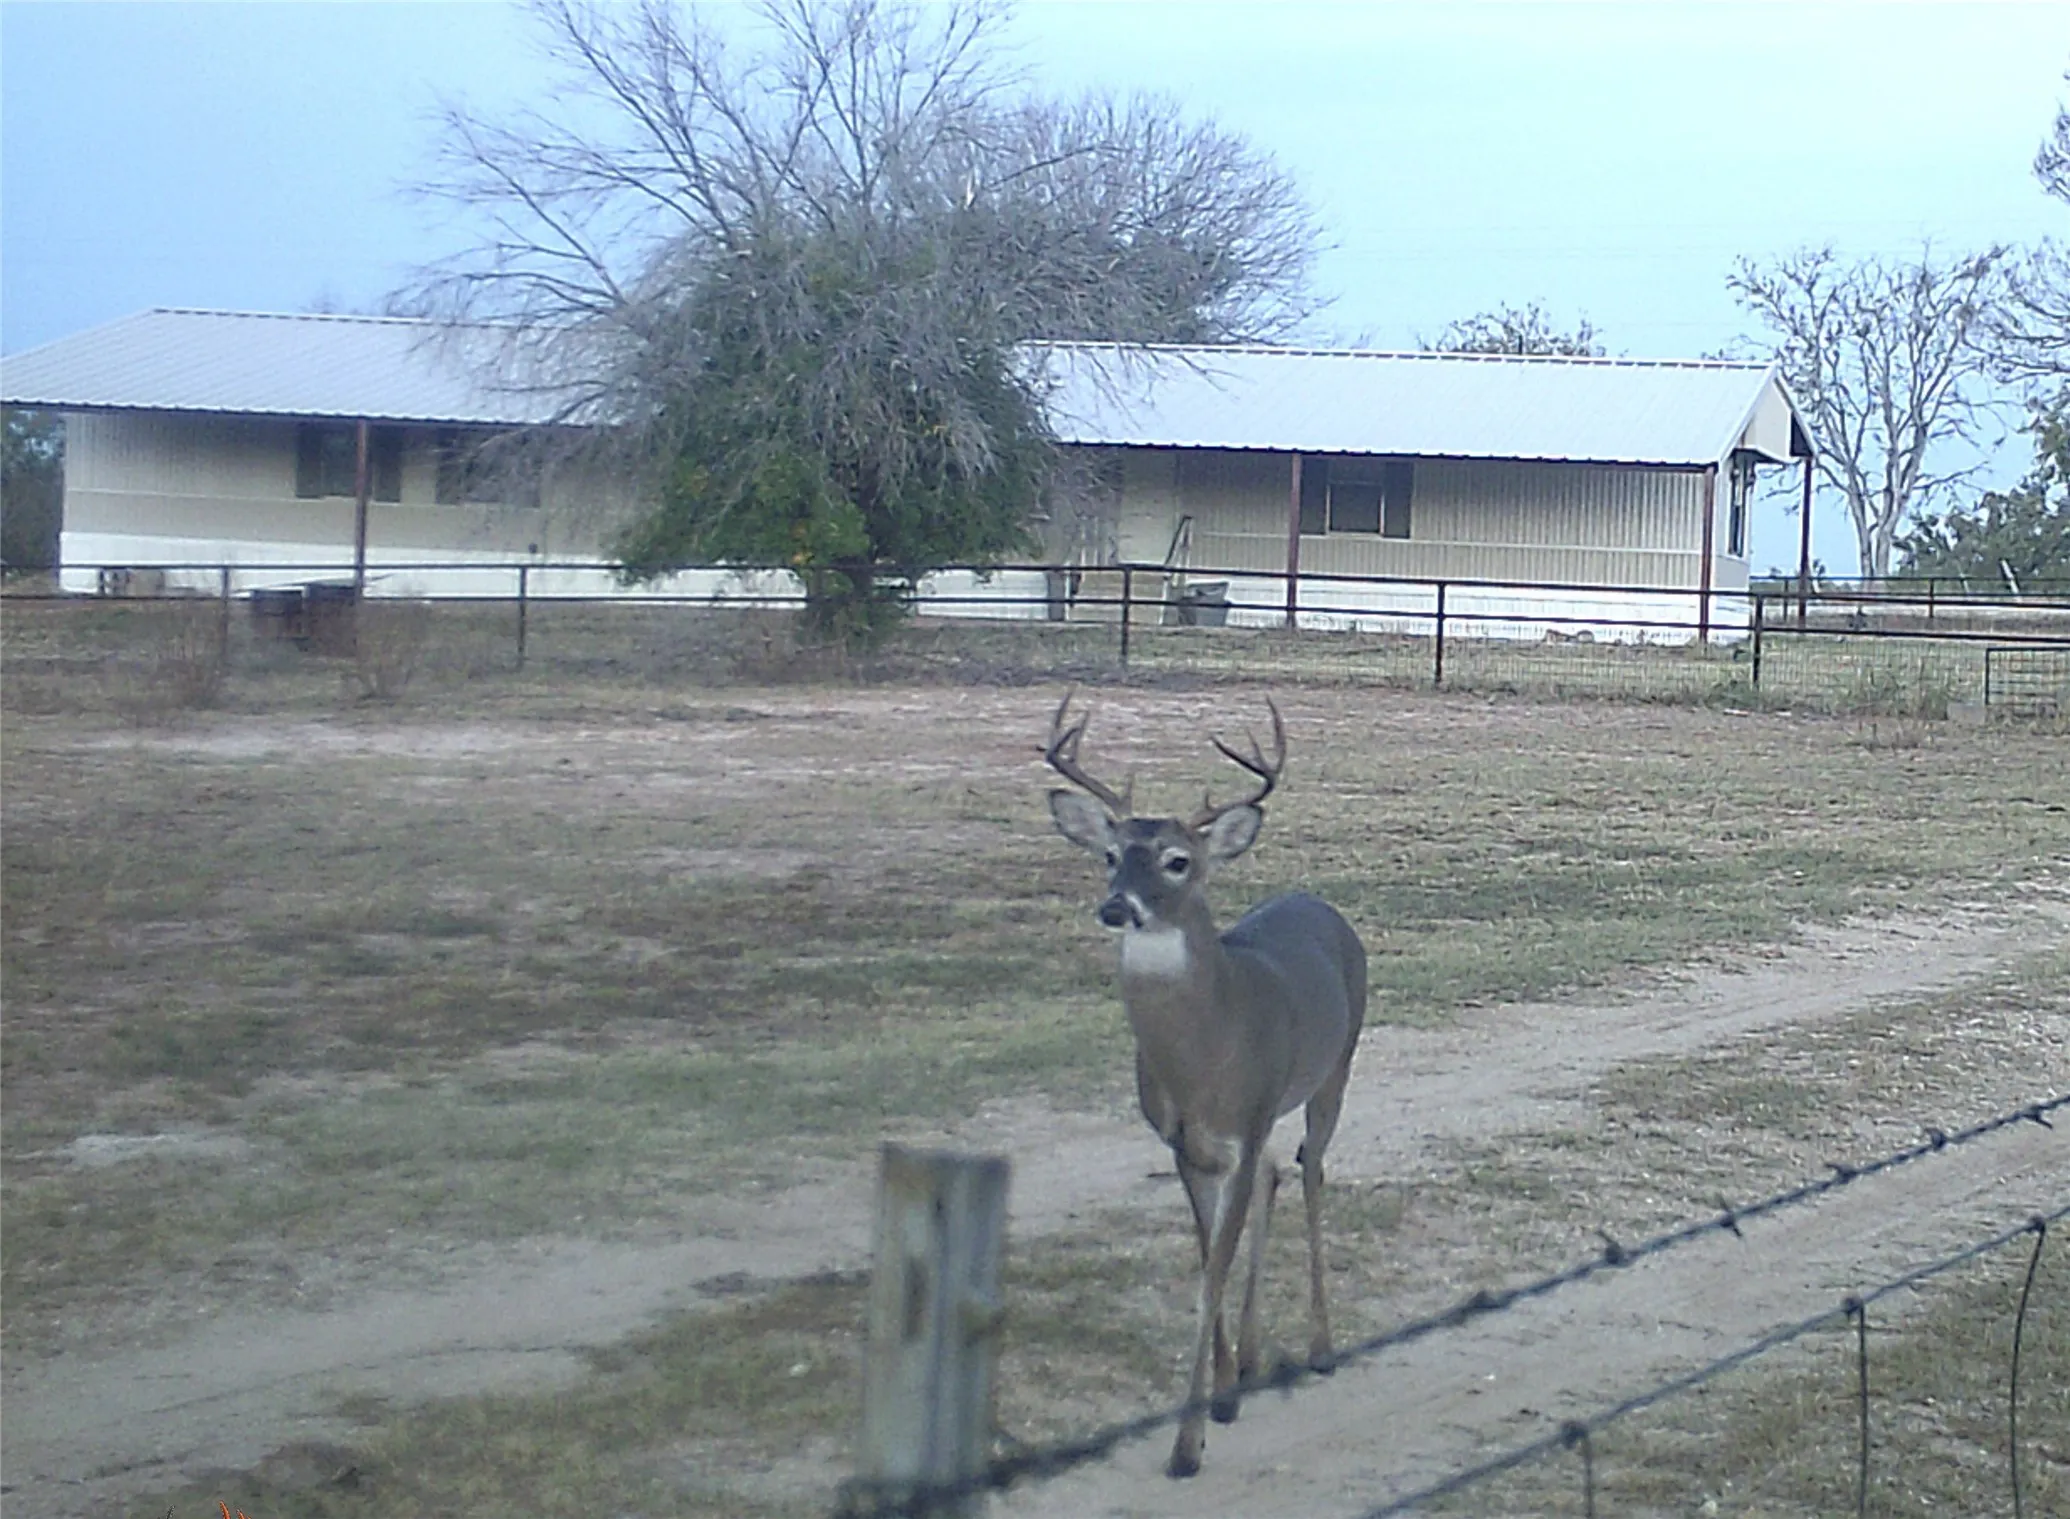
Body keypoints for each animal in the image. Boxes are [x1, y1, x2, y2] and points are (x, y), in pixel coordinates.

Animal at [1043, 692, 1366, 1479]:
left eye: (1177, 860)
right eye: (1109, 855)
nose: (1117, 907)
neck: (1203, 1057)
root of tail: (1321, 903)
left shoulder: (1245, 1119)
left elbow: (1210, 1271)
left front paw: (1187, 1444)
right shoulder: (1184, 1141)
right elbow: (1204, 1254)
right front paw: (1221, 1387)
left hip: (1334, 1065)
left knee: (1311, 1169)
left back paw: (1320, 1347)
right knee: (1278, 1174)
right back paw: (1248, 1361)